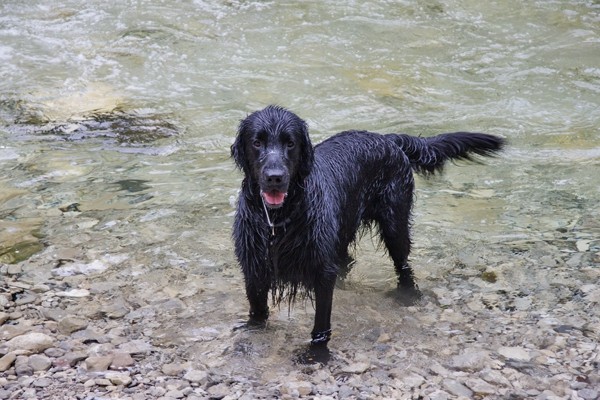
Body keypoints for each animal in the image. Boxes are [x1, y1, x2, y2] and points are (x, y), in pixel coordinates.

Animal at [232, 105, 504, 350]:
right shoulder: (254, 267)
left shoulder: (322, 271)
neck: (279, 220)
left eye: (290, 143)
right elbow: (258, 311)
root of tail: (388, 138)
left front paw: (317, 353)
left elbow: (321, 324)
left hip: (395, 224)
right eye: (257, 142)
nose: (275, 177)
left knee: (404, 265)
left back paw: (408, 296)